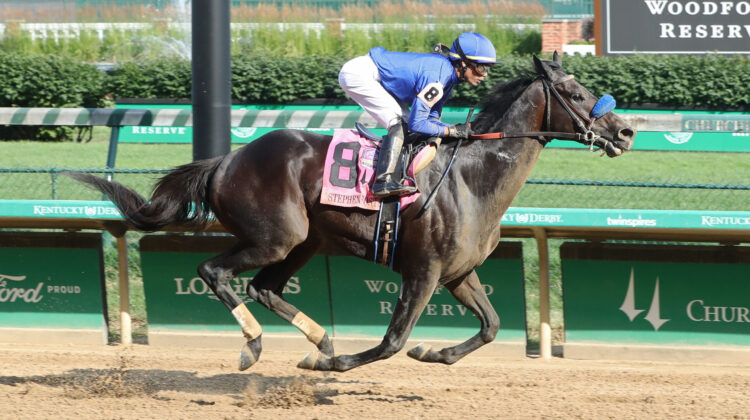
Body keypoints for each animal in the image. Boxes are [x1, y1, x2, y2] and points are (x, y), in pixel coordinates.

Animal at [69, 52, 636, 370]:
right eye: (575, 92)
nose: (627, 131)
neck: (473, 179)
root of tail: (227, 159)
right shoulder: (422, 271)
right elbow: (390, 342)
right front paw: (338, 364)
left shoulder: (459, 273)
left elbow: (493, 325)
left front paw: (435, 353)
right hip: (274, 237)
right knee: (215, 271)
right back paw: (257, 345)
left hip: (304, 242)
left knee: (264, 288)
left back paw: (318, 338)